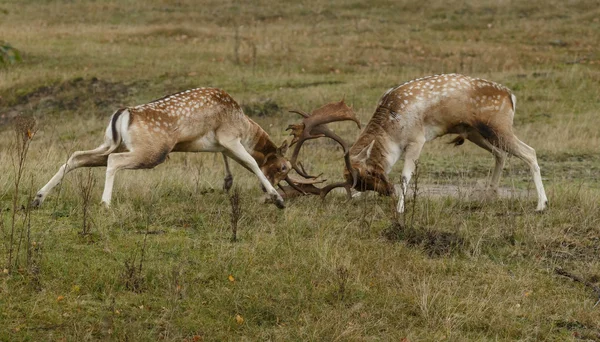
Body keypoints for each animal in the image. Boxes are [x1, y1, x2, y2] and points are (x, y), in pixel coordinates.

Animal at [31, 87, 310, 207]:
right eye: (283, 167)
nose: (273, 189)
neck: (244, 125)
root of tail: (123, 113)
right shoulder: (229, 137)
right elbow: (252, 163)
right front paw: (277, 200)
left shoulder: (219, 145)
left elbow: (236, 161)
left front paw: (228, 182)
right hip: (151, 151)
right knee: (113, 162)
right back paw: (105, 203)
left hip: (110, 143)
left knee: (76, 156)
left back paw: (38, 198)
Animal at [296, 74, 548, 211]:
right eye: (362, 183)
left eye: (371, 174)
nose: (388, 192)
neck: (392, 124)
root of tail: (510, 96)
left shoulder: (417, 140)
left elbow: (405, 176)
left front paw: (401, 209)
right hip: (475, 132)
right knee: (500, 154)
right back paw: (490, 195)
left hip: (499, 127)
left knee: (530, 152)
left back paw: (541, 205)